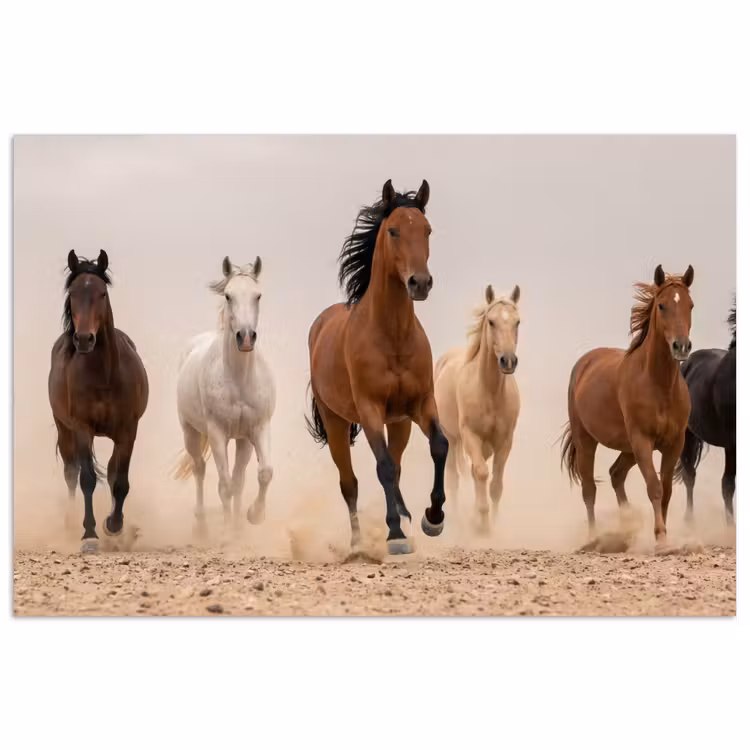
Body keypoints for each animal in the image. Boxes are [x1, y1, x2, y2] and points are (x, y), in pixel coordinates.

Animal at [48, 250, 149, 553]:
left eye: (102, 293)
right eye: (72, 293)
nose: (83, 339)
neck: (104, 374)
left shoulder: (128, 430)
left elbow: (121, 481)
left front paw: (113, 526)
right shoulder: (82, 428)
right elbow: (87, 480)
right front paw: (89, 535)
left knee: (114, 471)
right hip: (64, 429)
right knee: (71, 472)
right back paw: (71, 523)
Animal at [174, 256, 275, 532]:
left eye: (258, 295)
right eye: (229, 296)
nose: (246, 338)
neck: (239, 380)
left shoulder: (256, 429)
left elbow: (262, 474)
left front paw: (252, 516)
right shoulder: (217, 433)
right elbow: (225, 486)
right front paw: (228, 532)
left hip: (240, 440)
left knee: (237, 479)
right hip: (191, 432)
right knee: (199, 468)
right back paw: (201, 526)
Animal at [306, 179, 449, 555]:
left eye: (428, 230)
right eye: (394, 230)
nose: (420, 283)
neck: (393, 337)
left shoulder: (421, 405)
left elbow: (439, 445)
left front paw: (433, 518)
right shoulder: (369, 410)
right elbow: (381, 467)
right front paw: (395, 535)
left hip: (399, 423)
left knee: (396, 467)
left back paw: (408, 518)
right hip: (337, 423)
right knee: (350, 483)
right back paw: (358, 543)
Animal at [434, 284, 521, 534]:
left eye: (517, 322)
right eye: (491, 321)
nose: (508, 361)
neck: (489, 392)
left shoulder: (504, 441)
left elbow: (496, 485)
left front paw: (491, 524)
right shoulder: (470, 436)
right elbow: (481, 473)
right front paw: (481, 523)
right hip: (452, 439)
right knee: (453, 479)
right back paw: (458, 518)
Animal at [560, 264, 695, 548]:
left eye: (690, 305)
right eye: (662, 305)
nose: (681, 346)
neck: (659, 385)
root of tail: (584, 363)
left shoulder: (673, 444)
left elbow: (666, 490)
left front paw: (664, 535)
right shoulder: (642, 440)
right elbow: (654, 487)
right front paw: (661, 539)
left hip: (628, 448)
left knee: (616, 474)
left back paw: (626, 527)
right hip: (587, 440)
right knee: (589, 489)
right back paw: (593, 538)